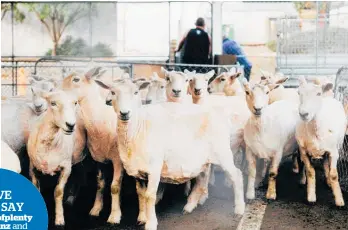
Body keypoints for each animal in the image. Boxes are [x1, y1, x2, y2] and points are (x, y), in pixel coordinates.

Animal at [27, 89, 79, 225]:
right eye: (53, 103)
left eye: (75, 102)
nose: (71, 125)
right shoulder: (32, 168)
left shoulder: (66, 167)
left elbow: (58, 191)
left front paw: (59, 218)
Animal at [94, 77, 243, 230]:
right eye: (113, 92)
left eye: (136, 92)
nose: (125, 113)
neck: (137, 129)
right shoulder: (136, 170)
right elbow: (141, 193)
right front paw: (142, 216)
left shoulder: (154, 168)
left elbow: (150, 195)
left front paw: (150, 223)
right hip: (203, 158)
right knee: (202, 178)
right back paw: (190, 206)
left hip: (222, 152)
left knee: (236, 175)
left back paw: (239, 209)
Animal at [294, 76, 346, 206]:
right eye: (299, 93)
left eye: (318, 94)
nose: (304, 114)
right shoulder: (304, 151)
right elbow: (310, 172)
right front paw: (311, 197)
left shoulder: (334, 152)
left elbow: (334, 175)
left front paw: (339, 200)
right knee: (302, 163)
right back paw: (302, 179)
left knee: (326, 163)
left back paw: (328, 181)